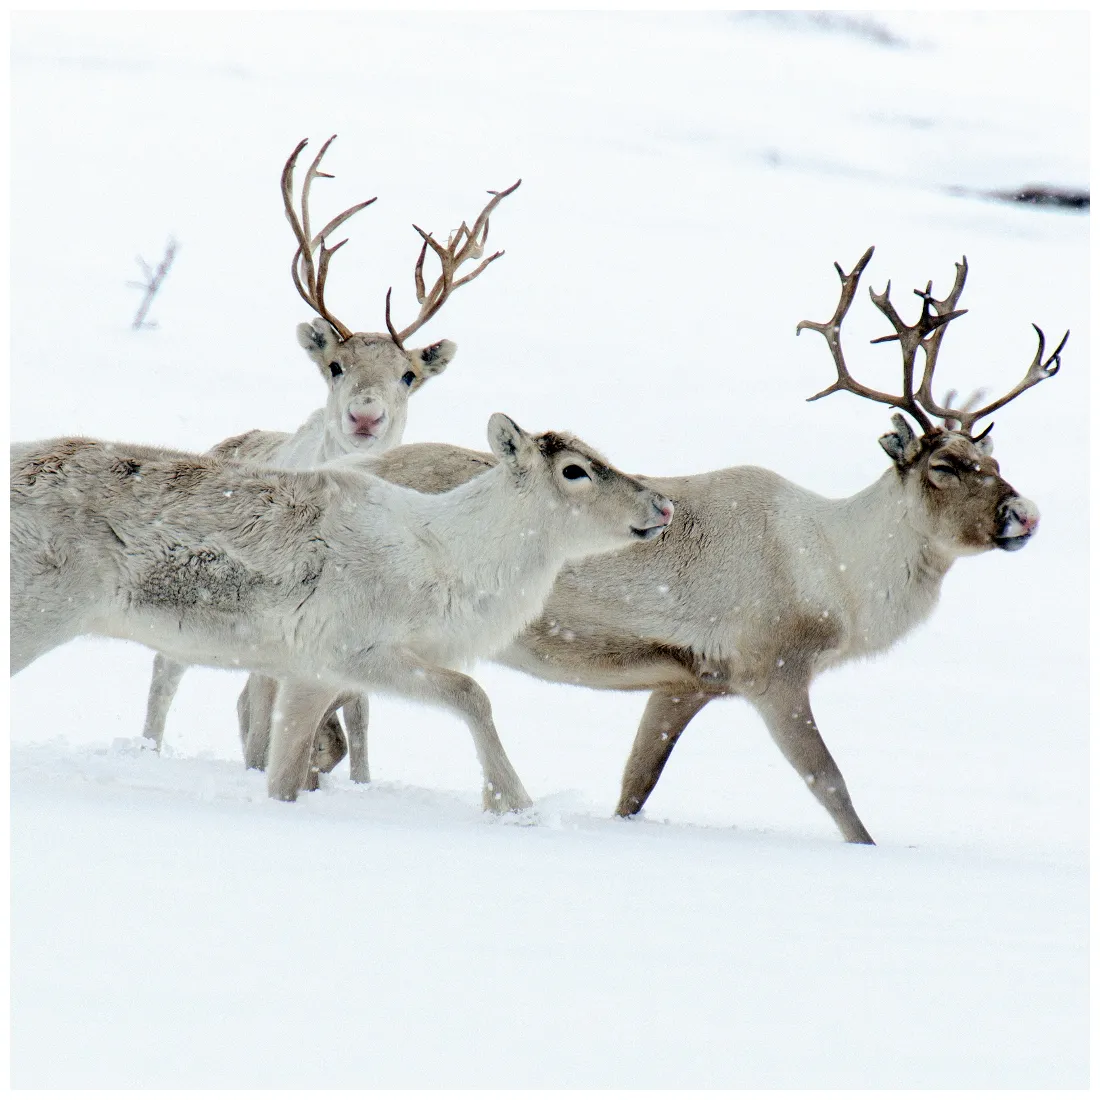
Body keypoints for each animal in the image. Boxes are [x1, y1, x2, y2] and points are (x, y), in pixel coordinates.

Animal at [9, 416, 675, 805]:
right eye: (575, 471)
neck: (454, 560)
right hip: (35, 613)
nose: (663, 506)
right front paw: (515, 803)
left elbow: (284, 774)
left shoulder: (310, 673)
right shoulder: (356, 652)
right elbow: (471, 694)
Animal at [139, 135, 521, 779]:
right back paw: (149, 750)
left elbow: (360, 710)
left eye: (408, 375)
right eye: (336, 365)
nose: (365, 416)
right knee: (172, 674)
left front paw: (358, 779)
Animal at [296, 247, 1064, 842]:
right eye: (944, 467)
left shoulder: (684, 682)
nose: (1024, 514)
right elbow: (832, 784)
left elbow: (635, 789)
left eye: (994, 460)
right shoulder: (771, 668)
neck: (838, 573)